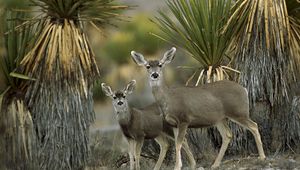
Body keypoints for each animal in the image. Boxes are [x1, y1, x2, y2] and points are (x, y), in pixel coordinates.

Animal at [130, 47, 266, 170]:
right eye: (147, 66)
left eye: (160, 65)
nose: (155, 74)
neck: (168, 99)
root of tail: (244, 90)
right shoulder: (173, 124)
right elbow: (179, 142)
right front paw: (186, 164)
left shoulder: (184, 119)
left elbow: (179, 143)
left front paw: (178, 166)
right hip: (219, 119)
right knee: (227, 135)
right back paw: (215, 164)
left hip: (238, 112)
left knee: (254, 126)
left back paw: (262, 157)